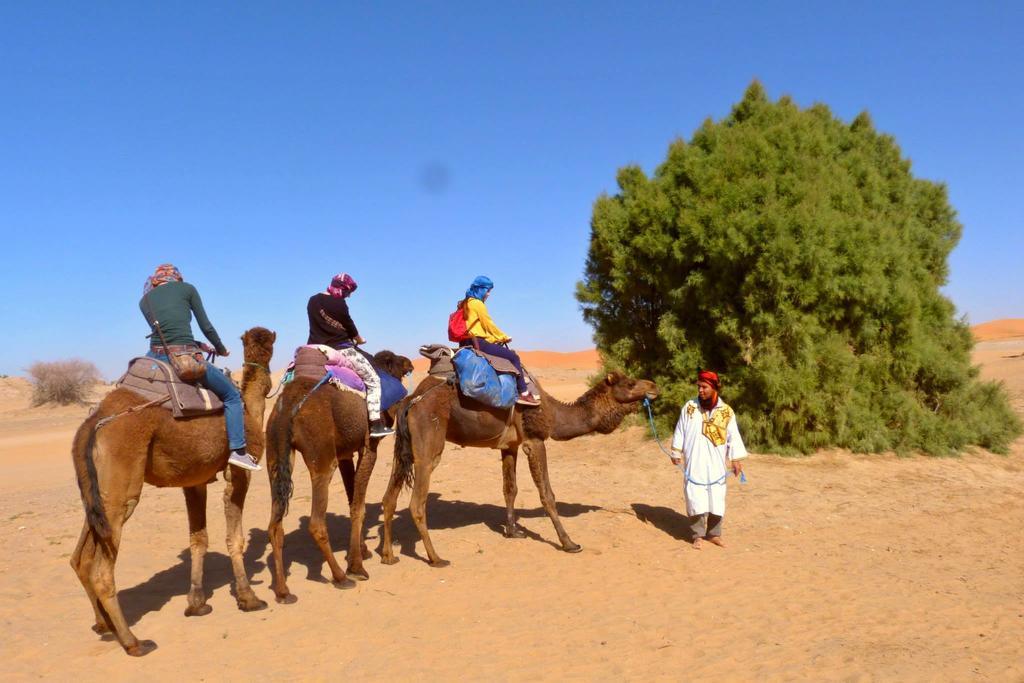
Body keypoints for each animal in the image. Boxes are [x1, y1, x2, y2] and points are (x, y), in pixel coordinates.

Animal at [68, 327, 278, 655]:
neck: (249, 409)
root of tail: (93, 424)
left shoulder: (194, 481)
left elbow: (198, 540)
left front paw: (197, 604)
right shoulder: (239, 473)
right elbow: (235, 538)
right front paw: (248, 598)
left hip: (95, 495)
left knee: (80, 558)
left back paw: (104, 626)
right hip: (121, 491)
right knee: (102, 571)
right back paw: (133, 642)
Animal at [266, 352, 413, 602]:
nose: (409, 364)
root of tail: (286, 409)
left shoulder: (345, 453)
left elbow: (352, 498)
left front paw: (361, 552)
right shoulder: (368, 447)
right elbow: (359, 507)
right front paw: (356, 566)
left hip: (275, 454)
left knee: (275, 526)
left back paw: (283, 591)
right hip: (322, 455)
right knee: (316, 522)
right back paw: (340, 577)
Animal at [380, 370, 659, 569]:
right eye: (630, 383)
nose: (654, 386)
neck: (553, 413)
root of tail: (410, 401)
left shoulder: (510, 446)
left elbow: (510, 489)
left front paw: (513, 531)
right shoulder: (533, 440)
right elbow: (547, 494)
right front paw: (568, 542)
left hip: (403, 449)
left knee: (388, 498)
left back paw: (388, 556)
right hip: (429, 444)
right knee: (417, 502)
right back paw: (436, 558)